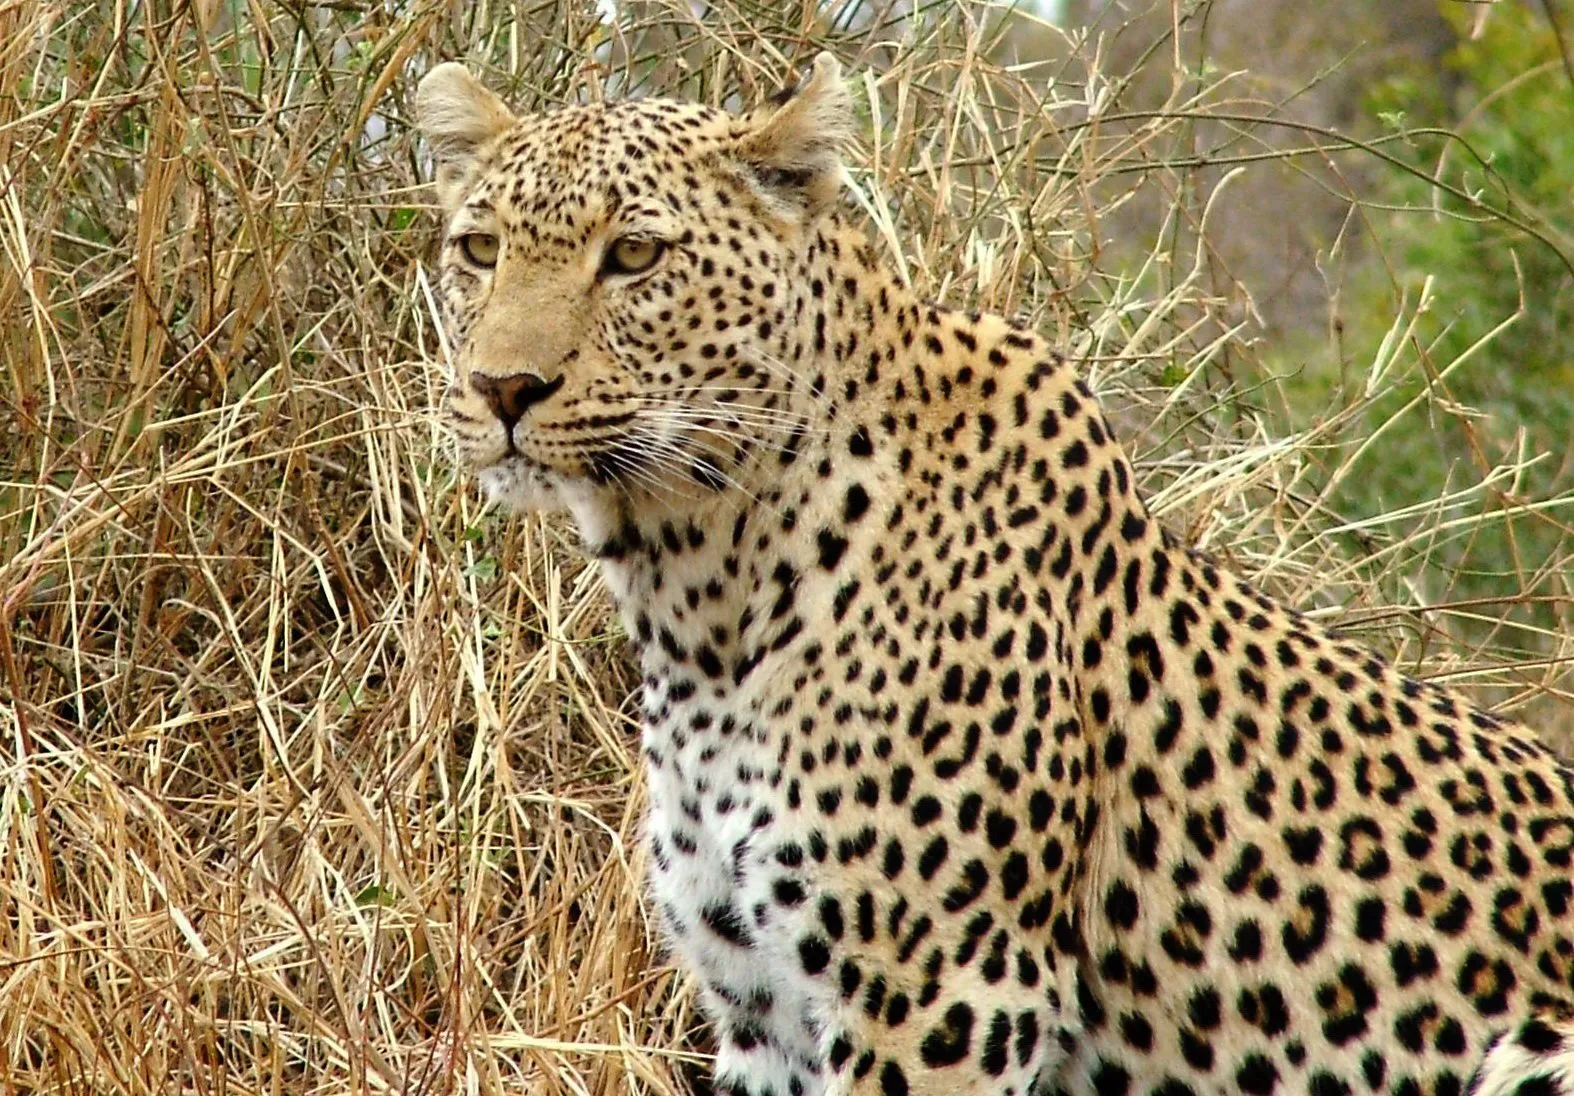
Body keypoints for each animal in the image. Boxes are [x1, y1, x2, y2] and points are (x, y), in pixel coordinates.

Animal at [415, 52, 1574, 1096]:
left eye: (634, 255)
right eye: (479, 249)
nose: (502, 387)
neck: (696, 584)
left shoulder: (942, 992)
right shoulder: (758, 1004)